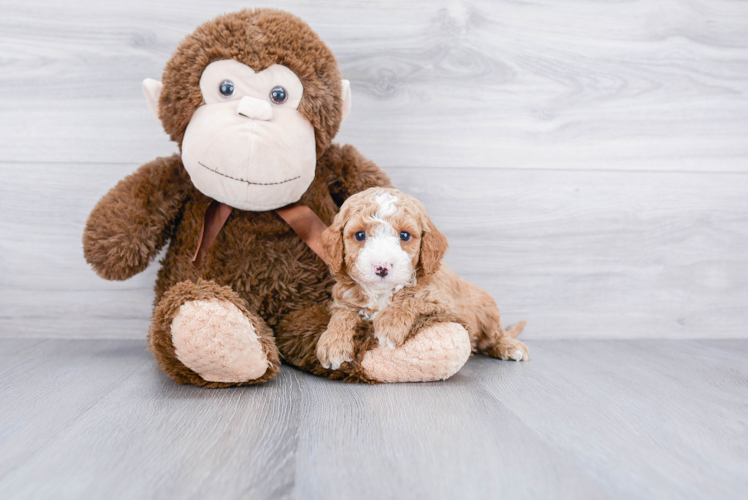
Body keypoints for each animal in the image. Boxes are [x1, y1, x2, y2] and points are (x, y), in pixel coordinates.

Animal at [314, 188, 524, 372]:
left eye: (404, 235)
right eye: (360, 235)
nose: (382, 267)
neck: (383, 293)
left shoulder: (443, 300)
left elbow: (414, 297)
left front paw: (390, 324)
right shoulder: (345, 300)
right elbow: (343, 314)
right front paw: (332, 342)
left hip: (486, 309)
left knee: (495, 335)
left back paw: (510, 347)